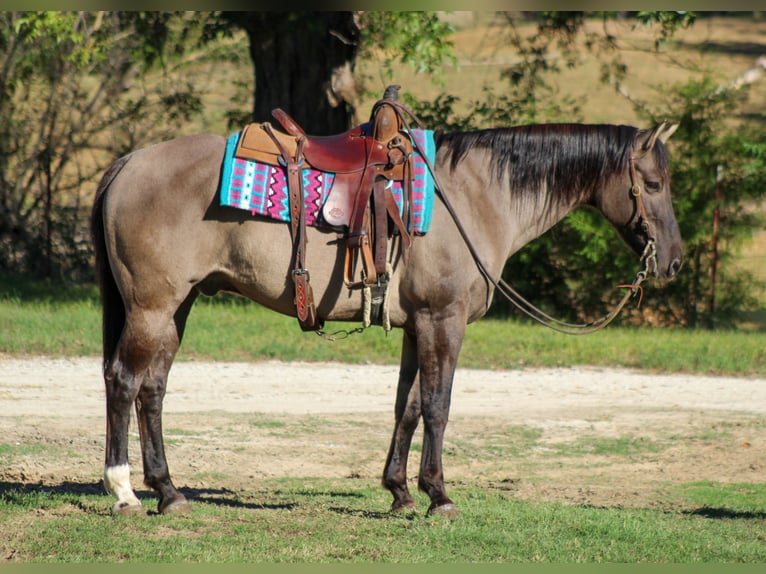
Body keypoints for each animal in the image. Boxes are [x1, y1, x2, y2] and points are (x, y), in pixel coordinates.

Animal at [90, 119, 683, 517]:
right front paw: (439, 495)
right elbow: (439, 407)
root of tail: (128, 163)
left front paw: (400, 491)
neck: (474, 197)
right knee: (124, 381)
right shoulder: (444, 320)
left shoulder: (419, 324)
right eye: (653, 185)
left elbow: (409, 406)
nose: (674, 261)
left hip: (176, 307)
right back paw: (123, 491)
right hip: (152, 306)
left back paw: (169, 492)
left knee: (152, 390)